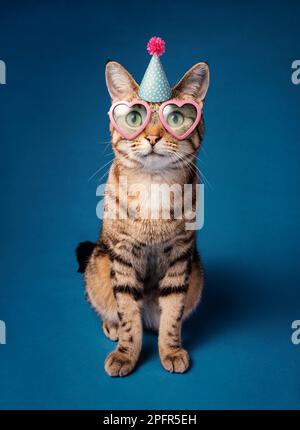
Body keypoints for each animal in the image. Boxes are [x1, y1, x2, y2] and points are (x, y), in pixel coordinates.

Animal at [76, 60, 210, 376]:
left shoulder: (180, 256)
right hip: (99, 265)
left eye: (175, 118)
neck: (153, 185)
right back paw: (112, 327)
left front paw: (170, 349)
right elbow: (127, 315)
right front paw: (126, 354)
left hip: (196, 274)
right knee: (114, 308)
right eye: (135, 117)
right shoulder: (123, 255)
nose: (152, 137)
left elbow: (172, 314)